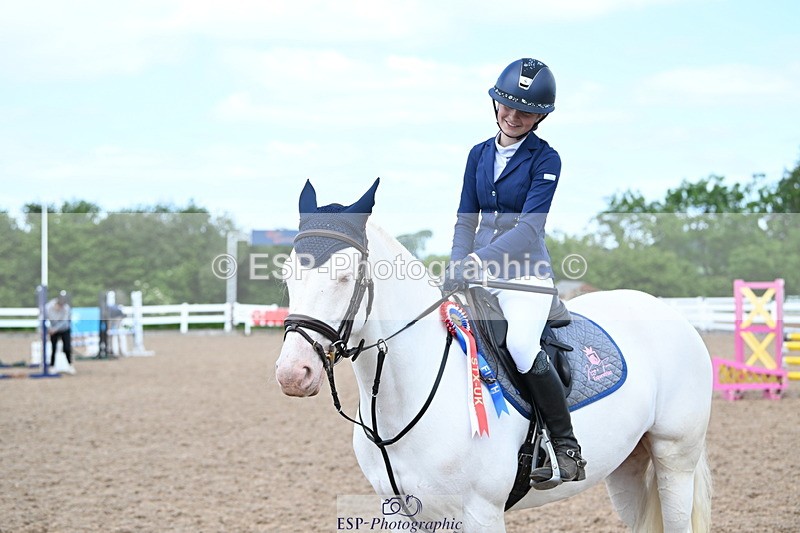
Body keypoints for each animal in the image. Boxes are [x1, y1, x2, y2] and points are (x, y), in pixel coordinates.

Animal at [275, 180, 713, 532]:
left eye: (345, 276)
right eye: (288, 274)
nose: (293, 374)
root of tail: (670, 313)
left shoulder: (480, 512)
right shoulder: (406, 513)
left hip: (674, 458)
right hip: (628, 467)